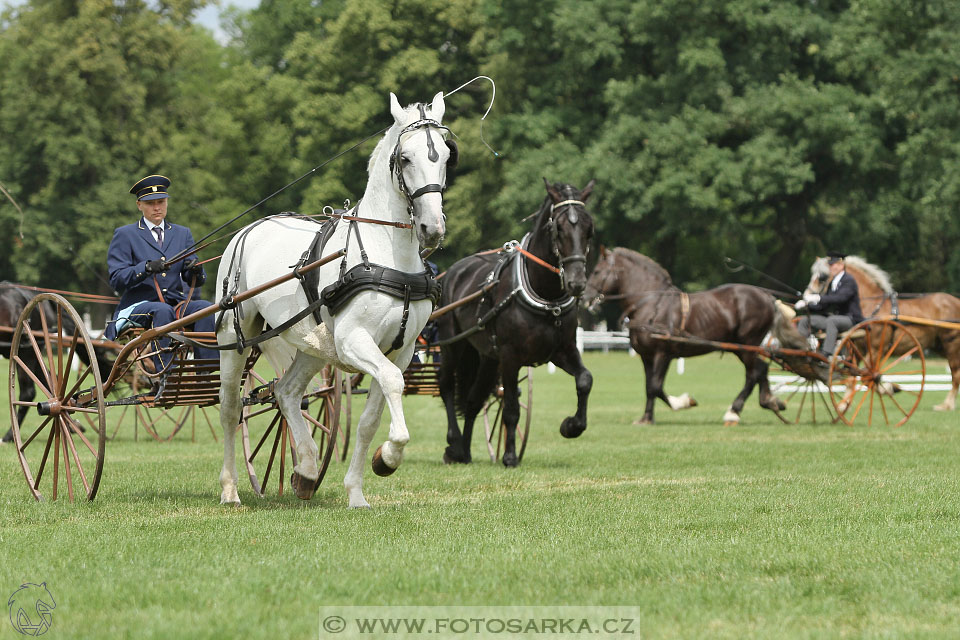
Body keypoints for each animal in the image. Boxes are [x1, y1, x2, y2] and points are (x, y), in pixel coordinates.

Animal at [217, 91, 454, 510]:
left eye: (444, 155)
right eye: (405, 158)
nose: (432, 228)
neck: (388, 254)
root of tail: (250, 227)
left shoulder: (403, 349)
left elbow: (369, 420)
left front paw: (360, 486)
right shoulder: (353, 340)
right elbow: (392, 383)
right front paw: (390, 455)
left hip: (311, 343)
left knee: (286, 393)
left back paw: (307, 470)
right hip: (235, 336)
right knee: (231, 408)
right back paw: (231, 488)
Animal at [436, 178, 592, 468]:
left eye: (590, 228)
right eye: (558, 228)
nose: (577, 282)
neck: (546, 296)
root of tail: (454, 270)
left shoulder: (562, 351)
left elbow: (585, 379)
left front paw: (571, 426)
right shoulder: (510, 357)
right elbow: (510, 408)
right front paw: (509, 456)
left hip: (486, 356)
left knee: (474, 399)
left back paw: (465, 451)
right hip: (454, 344)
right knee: (447, 386)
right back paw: (454, 444)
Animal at [580, 249, 792, 424]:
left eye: (597, 271)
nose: (584, 298)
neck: (650, 304)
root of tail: (767, 297)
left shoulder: (662, 354)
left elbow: (655, 386)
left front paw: (681, 402)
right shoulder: (646, 356)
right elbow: (649, 386)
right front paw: (647, 417)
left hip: (747, 344)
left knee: (753, 373)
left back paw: (734, 411)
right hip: (739, 347)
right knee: (761, 369)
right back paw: (770, 402)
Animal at [808, 255, 960, 410]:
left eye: (822, 277)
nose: (807, 296)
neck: (871, 306)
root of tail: (956, 301)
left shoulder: (876, 350)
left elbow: (868, 377)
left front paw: (889, 388)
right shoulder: (857, 350)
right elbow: (852, 377)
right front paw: (844, 405)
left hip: (952, 345)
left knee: (956, 375)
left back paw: (946, 405)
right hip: (940, 346)